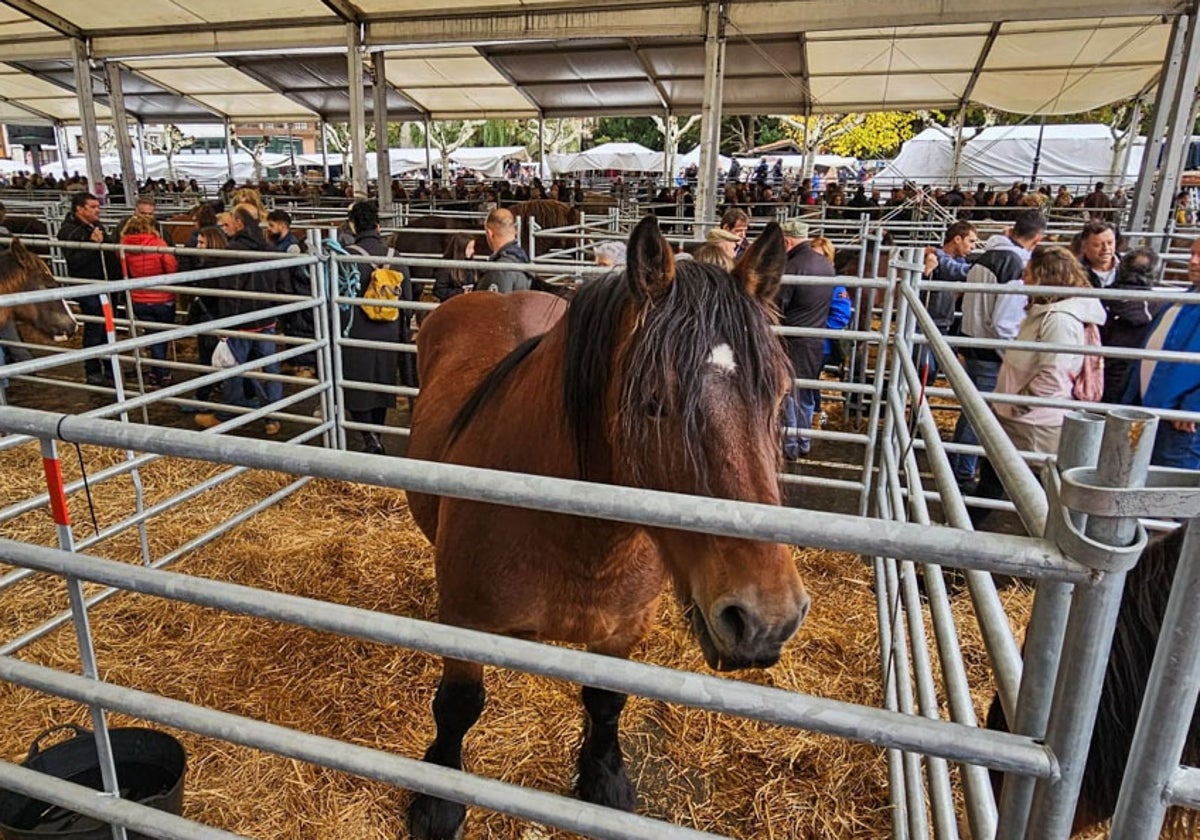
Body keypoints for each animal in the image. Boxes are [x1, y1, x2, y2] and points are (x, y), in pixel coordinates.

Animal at [405, 218, 816, 840]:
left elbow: (605, 701)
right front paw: (437, 799)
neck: (575, 540)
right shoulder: (463, 621)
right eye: (653, 402)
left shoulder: (624, 627)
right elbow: (457, 705)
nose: (766, 618)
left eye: (777, 397)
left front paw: (604, 780)